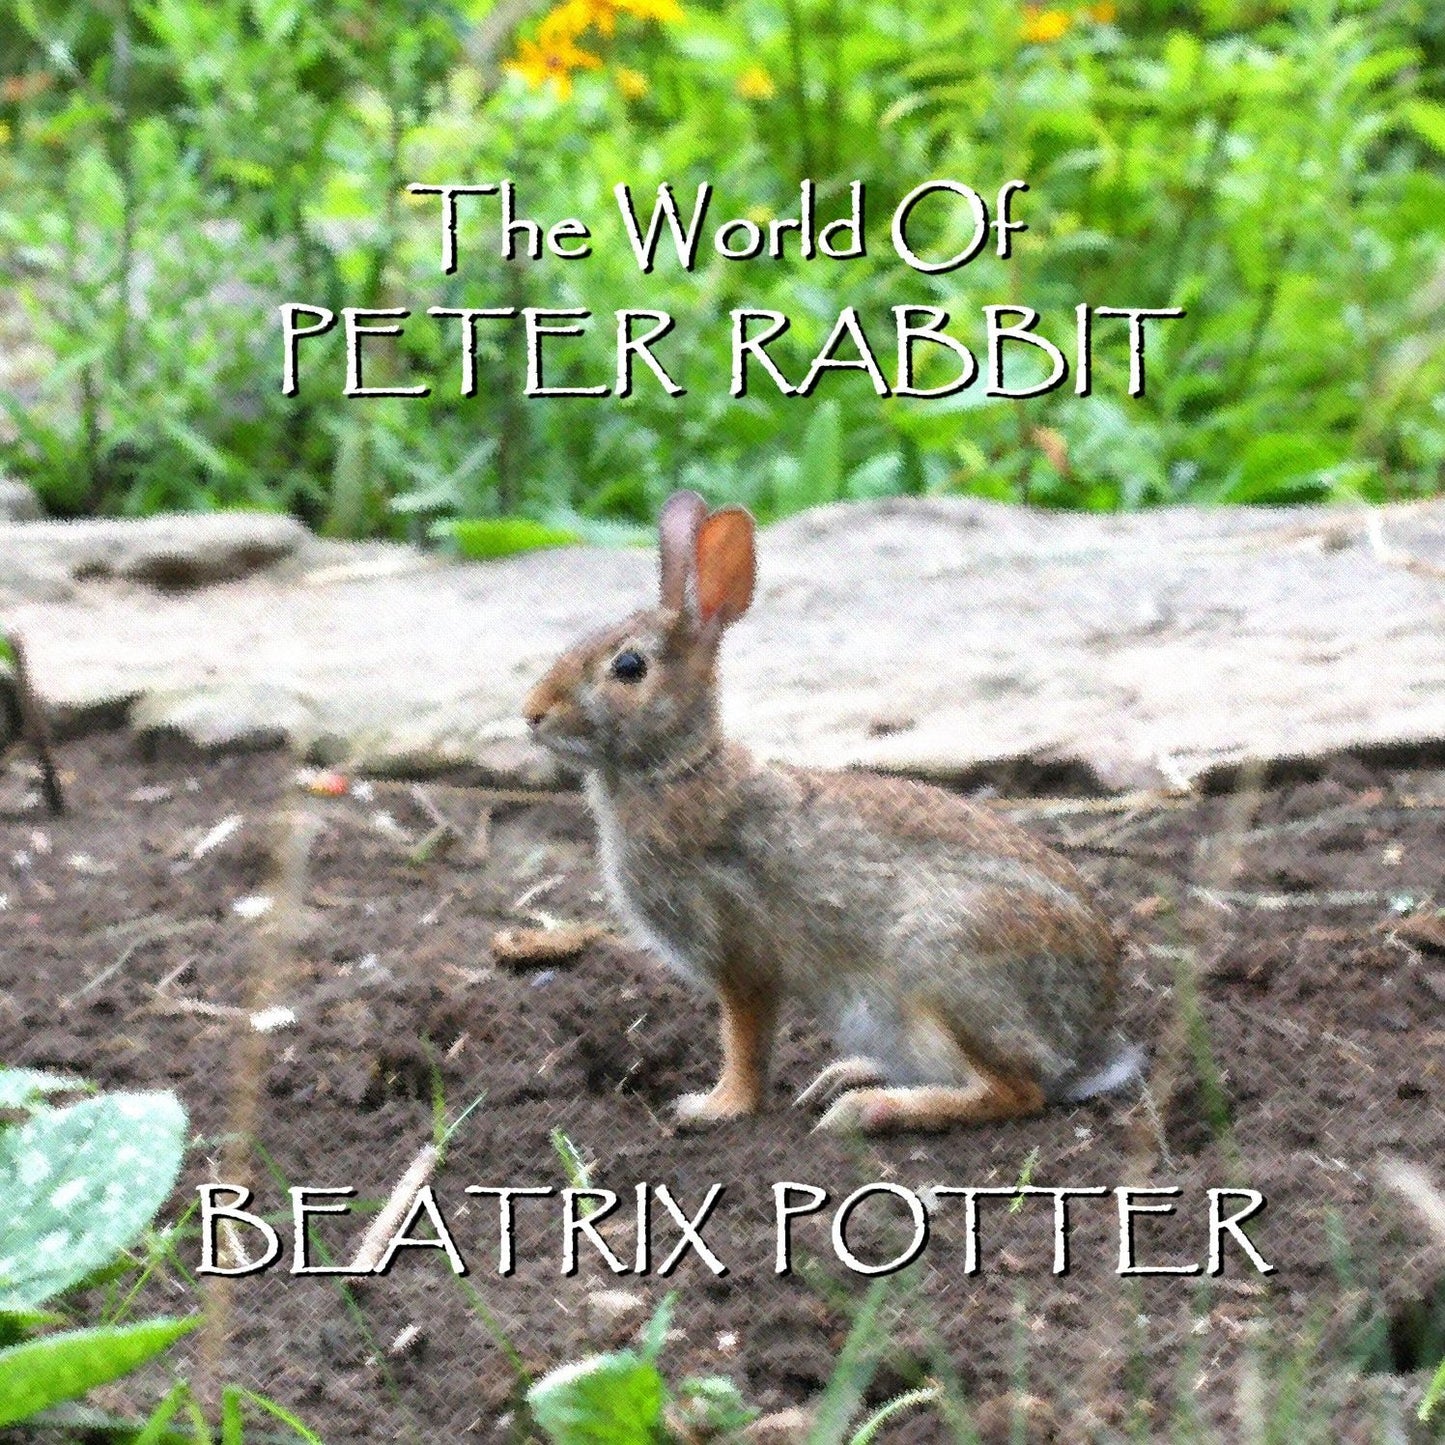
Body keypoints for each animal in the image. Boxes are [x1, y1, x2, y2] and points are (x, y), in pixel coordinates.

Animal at [523, 491, 1140, 1133]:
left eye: (628, 668)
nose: (532, 713)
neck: (676, 768)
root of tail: (1084, 1043)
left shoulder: (741, 956)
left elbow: (744, 1041)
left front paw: (714, 1108)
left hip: (939, 970)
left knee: (1015, 1091)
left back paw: (866, 1109)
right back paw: (847, 1076)